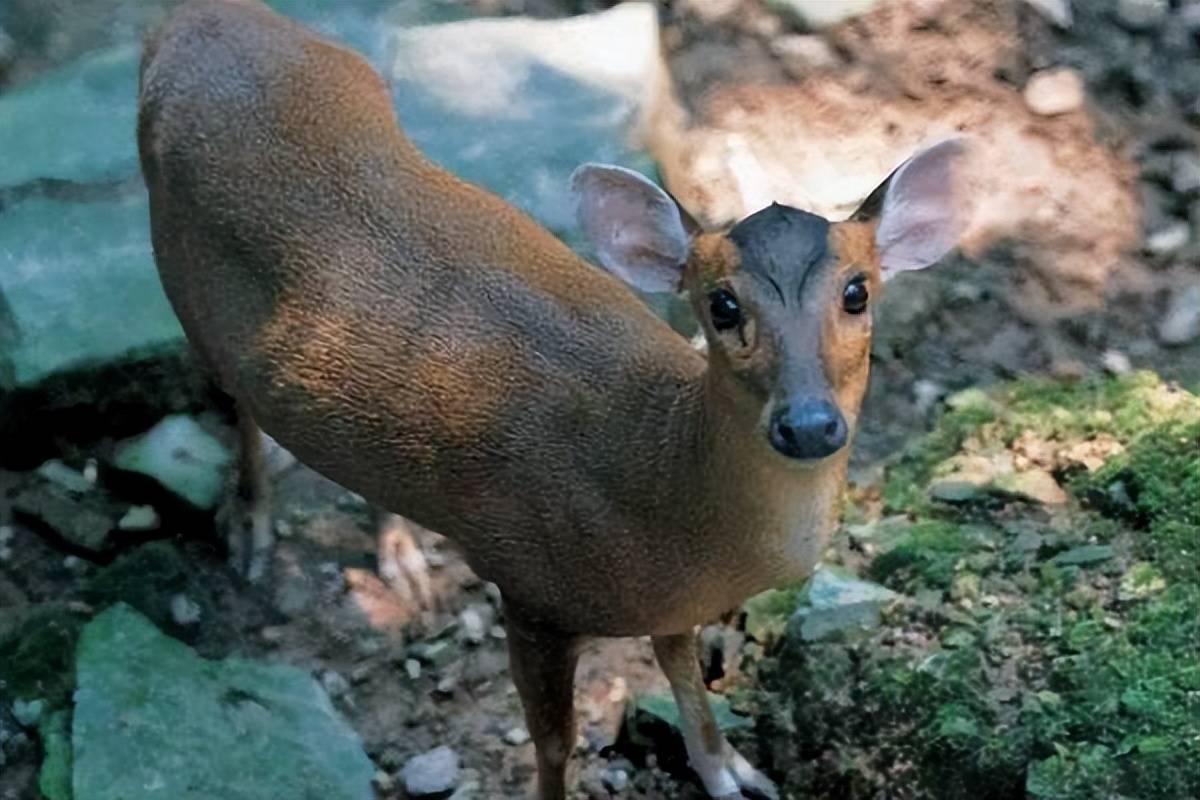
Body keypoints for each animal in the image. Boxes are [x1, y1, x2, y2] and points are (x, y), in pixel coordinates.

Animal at [136, 3, 974, 796]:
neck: (663, 492)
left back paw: (400, 555)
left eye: (858, 291)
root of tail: (196, 19)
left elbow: (684, 676)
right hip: (181, 276)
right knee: (235, 397)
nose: (808, 424)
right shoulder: (531, 584)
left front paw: (732, 771)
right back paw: (250, 525)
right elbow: (554, 742)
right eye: (722, 305)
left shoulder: (670, 603)